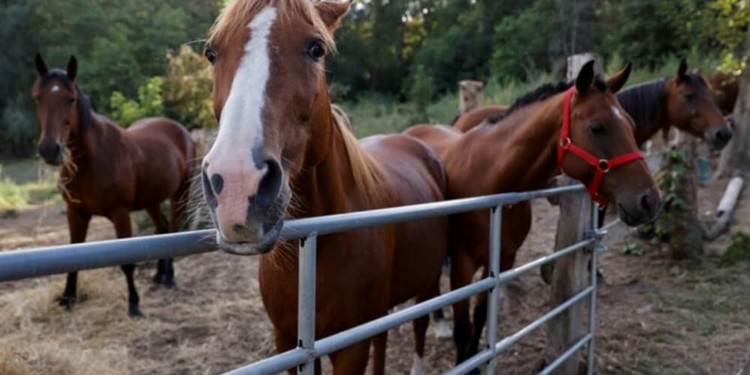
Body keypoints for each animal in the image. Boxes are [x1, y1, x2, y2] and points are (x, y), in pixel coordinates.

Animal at [30, 53, 195, 318]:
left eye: (70, 99)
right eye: (38, 98)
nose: (49, 149)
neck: (89, 162)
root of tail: (180, 130)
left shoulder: (120, 214)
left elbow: (127, 262)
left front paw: (134, 304)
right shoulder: (75, 213)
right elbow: (72, 253)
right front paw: (67, 298)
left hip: (180, 194)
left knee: (173, 230)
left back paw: (169, 277)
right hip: (151, 200)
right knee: (161, 228)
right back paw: (159, 275)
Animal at [198, 1, 446, 374]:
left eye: (316, 48)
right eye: (211, 53)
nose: (237, 186)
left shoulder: (351, 348)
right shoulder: (287, 340)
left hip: (427, 281)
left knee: (420, 325)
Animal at [406, 61, 664, 368]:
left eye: (631, 124)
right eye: (597, 127)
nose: (649, 200)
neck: (490, 178)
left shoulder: (501, 260)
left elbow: (481, 318)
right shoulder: (463, 264)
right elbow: (463, 329)